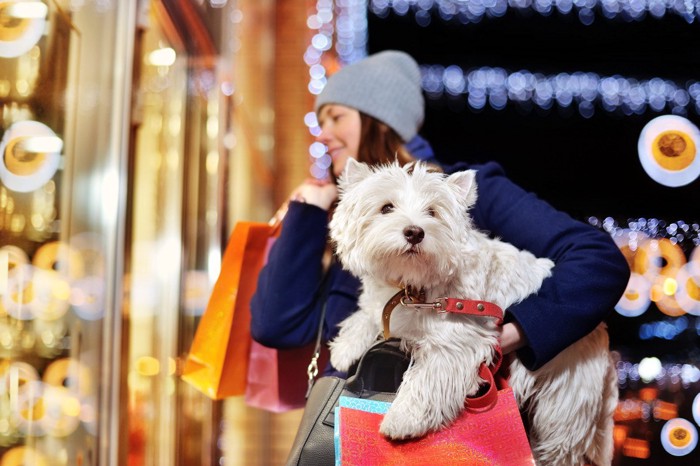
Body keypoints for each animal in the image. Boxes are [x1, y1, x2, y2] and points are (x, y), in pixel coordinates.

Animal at [328, 160, 616, 466]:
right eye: (386, 208)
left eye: (433, 212)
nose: (415, 232)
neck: (412, 287)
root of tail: (603, 334)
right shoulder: (384, 306)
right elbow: (366, 315)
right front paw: (345, 348)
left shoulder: (457, 341)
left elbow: (427, 378)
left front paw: (402, 418)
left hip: (564, 402)